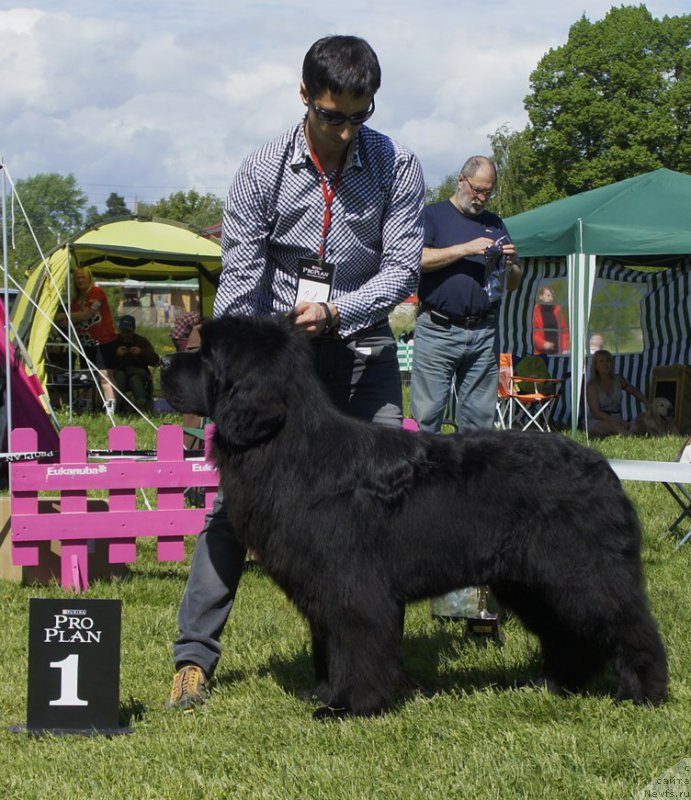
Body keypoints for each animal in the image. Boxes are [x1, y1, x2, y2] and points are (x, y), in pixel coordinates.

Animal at [159, 316, 668, 716]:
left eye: (206, 355)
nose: (163, 363)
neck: (290, 445)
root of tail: (603, 466)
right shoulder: (322, 585)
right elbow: (328, 642)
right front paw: (323, 692)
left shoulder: (352, 582)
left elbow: (355, 641)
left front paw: (350, 706)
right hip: (531, 580)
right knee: (568, 632)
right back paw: (558, 683)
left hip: (581, 571)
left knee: (629, 624)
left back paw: (643, 693)